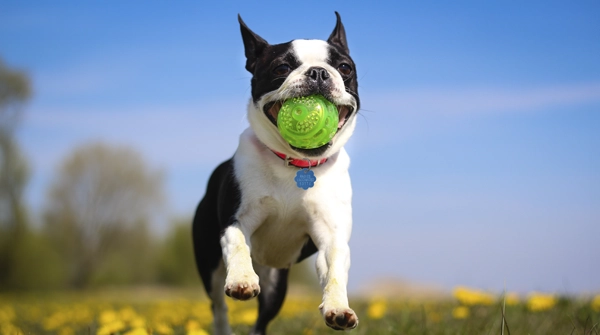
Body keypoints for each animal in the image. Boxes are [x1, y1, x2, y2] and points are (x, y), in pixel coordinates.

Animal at [195, 11, 358, 334]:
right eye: (281, 67)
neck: (295, 164)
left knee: (261, 320)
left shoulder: (331, 236)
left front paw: (337, 308)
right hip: (209, 264)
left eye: (344, 67)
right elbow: (238, 244)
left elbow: (334, 269)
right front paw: (242, 279)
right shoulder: (237, 220)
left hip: (275, 285)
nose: (318, 73)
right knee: (218, 305)